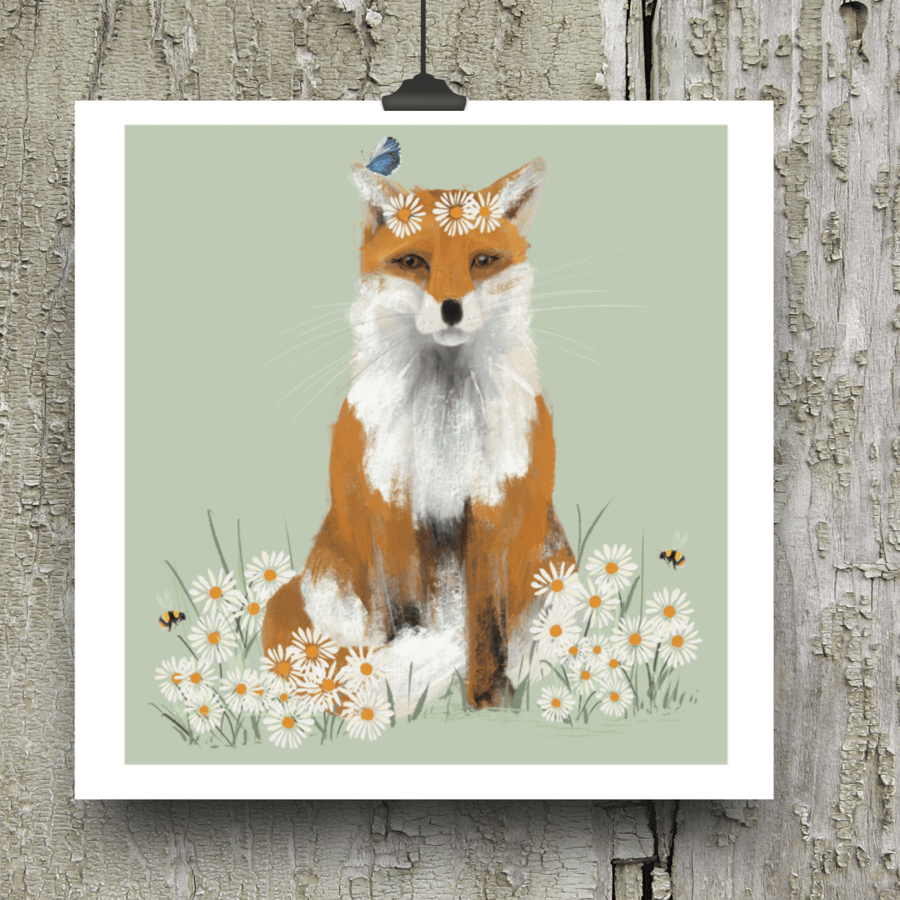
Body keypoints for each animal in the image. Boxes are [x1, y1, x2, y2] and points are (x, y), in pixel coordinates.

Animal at [261, 158, 576, 712]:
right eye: (413, 262)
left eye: (482, 261)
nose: (451, 307)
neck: (444, 428)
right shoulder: (389, 502)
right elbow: (403, 617)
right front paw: (396, 690)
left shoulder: (494, 504)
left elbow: (487, 625)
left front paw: (489, 703)